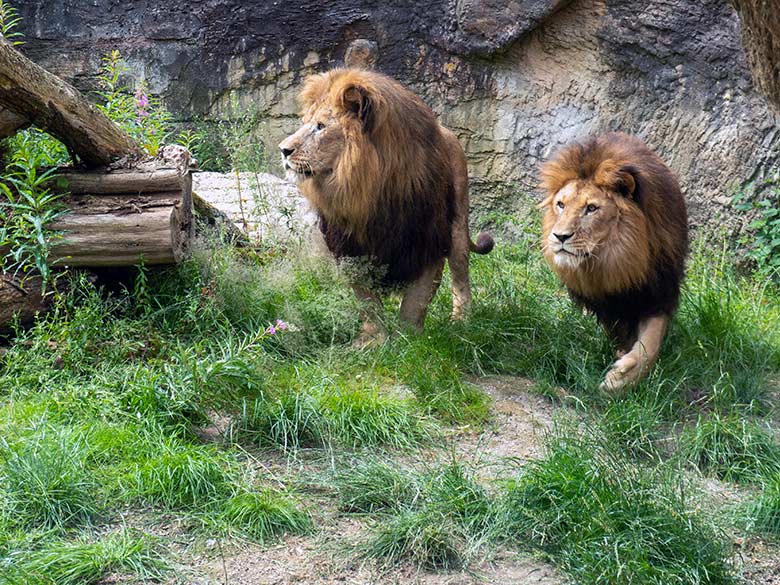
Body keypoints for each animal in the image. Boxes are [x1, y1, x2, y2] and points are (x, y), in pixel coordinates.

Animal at [278, 67, 490, 346]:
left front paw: (411, 340)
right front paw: (373, 341)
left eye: (320, 126)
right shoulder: (351, 249)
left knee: (460, 274)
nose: (283, 150)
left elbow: (417, 300)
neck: (370, 191)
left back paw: (461, 321)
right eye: (304, 123)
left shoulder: (430, 241)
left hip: (458, 227)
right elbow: (367, 302)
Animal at [536, 132, 688, 388]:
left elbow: (651, 342)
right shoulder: (603, 301)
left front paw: (623, 378)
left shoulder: (659, 291)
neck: (616, 260)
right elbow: (618, 332)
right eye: (561, 204)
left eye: (591, 208)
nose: (560, 236)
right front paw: (621, 359)